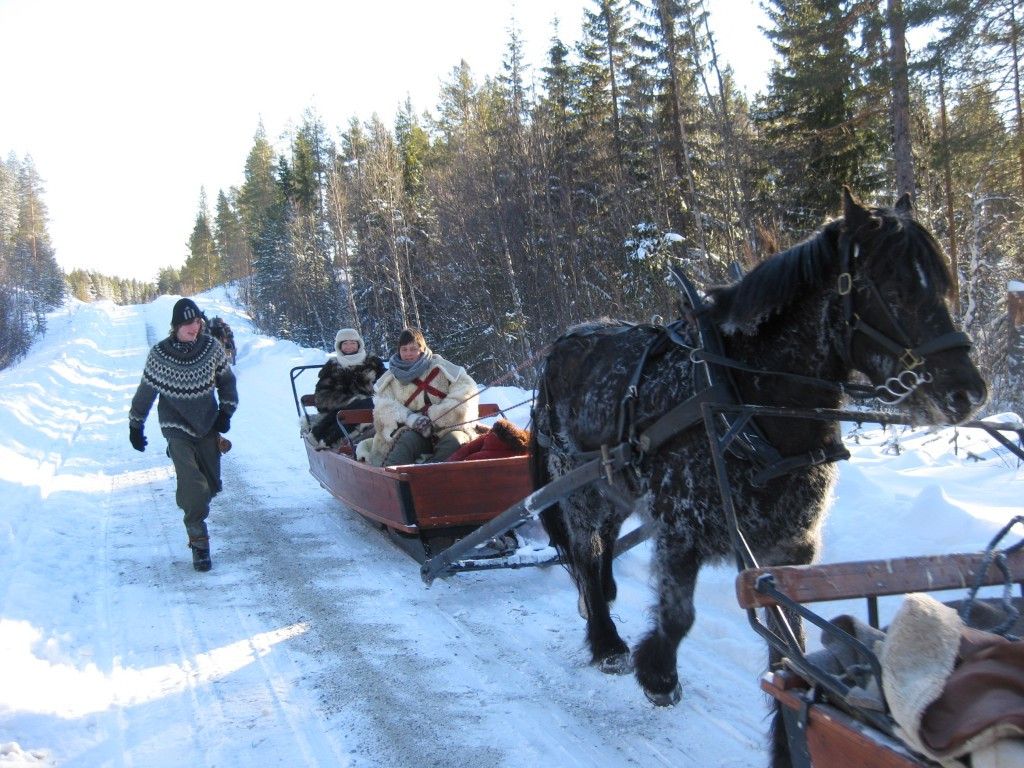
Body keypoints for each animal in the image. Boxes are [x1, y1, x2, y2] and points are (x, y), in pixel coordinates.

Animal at [529, 189, 987, 768]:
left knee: (604, 546)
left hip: (613, 485)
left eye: (944, 286)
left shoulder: (788, 550)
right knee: (587, 553)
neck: (743, 401)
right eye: (897, 290)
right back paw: (606, 641)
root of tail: (560, 344)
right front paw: (656, 673)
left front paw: (789, 742)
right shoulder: (681, 530)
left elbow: (788, 647)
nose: (969, 392)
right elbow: (678, 616)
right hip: (580, 486)